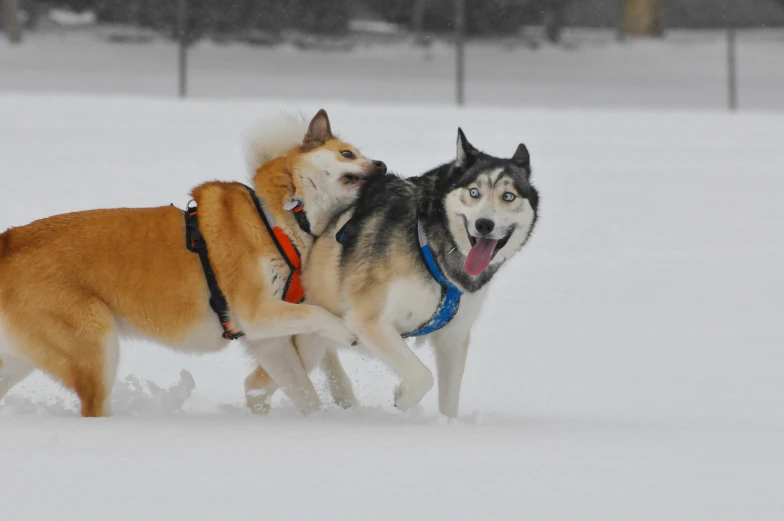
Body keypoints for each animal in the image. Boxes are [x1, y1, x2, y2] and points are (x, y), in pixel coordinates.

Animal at [0, 108, 386, 414]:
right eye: (348, 154)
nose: (382, 164)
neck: (285, 217)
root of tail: (9, 241)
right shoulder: (256, 312)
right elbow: (316, 315)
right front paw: (346, 333)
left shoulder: (268, 338)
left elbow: (302, 387)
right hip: (96, 345)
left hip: (29, 355)